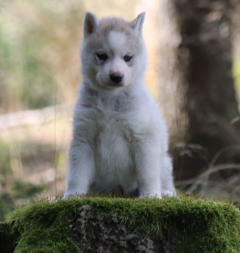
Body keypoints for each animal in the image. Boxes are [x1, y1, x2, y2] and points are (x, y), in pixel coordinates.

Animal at [63, 12, 176, 198]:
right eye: (102, 56)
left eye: (127, 57)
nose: (116, 76)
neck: (110, 99)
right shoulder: (83, 137)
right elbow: (76, 173)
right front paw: (73, 194)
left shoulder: (143, 137)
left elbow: (148, 174)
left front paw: (150, 195)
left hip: (164, 161)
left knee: (166, 178)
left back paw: (166, 192)